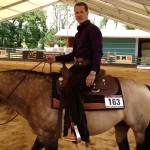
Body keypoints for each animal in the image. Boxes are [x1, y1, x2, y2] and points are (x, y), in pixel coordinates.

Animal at [0, 68, 149, 150]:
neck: (35, 94)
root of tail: (145, 87)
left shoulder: (50, 136)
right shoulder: (42, 135)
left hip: (139, 130)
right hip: (121, 126)